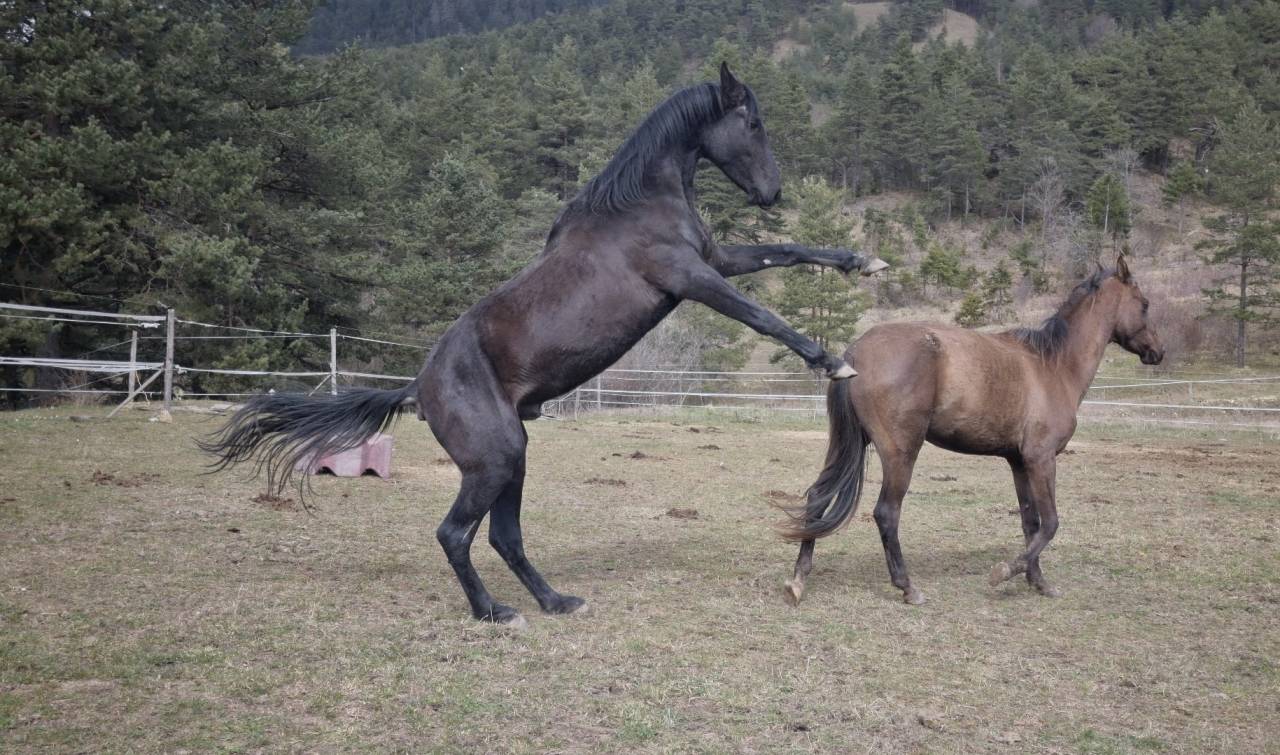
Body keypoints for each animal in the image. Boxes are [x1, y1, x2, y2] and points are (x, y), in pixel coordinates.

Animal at [201, 64, 889, 627]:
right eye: (752, 122)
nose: (772, 193)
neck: (638, 206)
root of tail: (417, 387)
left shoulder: (717, 260)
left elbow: (791, 251)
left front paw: (864, 263)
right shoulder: (692, 277)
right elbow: (763, 316)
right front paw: (832, 361)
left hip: (515, 456)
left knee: (503, 537)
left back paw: (556, 601)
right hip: (495, 458)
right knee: (455, 534)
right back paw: (494, 613)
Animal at [780, 254, 1163, 607]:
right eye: (1144, 304)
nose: (1158, 352)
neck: (1052, 366)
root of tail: (856, 352)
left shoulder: (1019, 462)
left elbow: (1031, 524)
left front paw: (1037, 581)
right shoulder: (1041, 459)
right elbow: (1051, 523)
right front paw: (1006, 572)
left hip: (849, 444)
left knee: (818, 496)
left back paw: (798, 579)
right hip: (900, 453)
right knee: (886, 513)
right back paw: (907, 587)